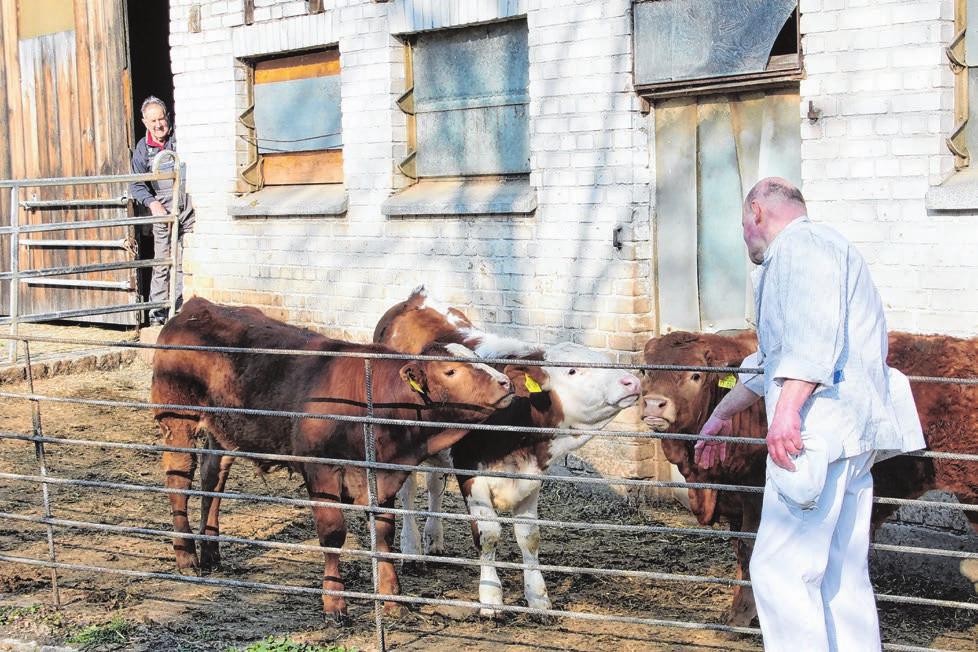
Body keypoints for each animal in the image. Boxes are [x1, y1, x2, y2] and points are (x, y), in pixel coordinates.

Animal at [149, 298, 516, 620]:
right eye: (451, 371)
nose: (505, 382)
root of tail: (195, 306)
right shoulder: (321, 471)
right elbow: (333, 535)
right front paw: (335, 604)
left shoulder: (380, 476)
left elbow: (383, 536)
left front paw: (393, 600)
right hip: (177, 419)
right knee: (178, 483)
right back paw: (186, 556)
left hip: (224, 431)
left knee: (213, 479)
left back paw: (211, 551)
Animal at [640, 332, 976, 628]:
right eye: (645, 371)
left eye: (696, 375)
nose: (654, 404)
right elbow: (739, 550)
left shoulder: (757, 495)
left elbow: (750, 550)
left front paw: (744, 614)